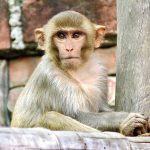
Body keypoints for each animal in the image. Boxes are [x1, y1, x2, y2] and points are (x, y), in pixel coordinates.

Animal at [10, 9, 149, 135]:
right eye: (61, 36)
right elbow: (76, 114)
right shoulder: (50, 78)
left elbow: (101, 109)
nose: (69, 48)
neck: (76, 70)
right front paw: (124, 120)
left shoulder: (99, 71)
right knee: (51, 117)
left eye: (76, 35)